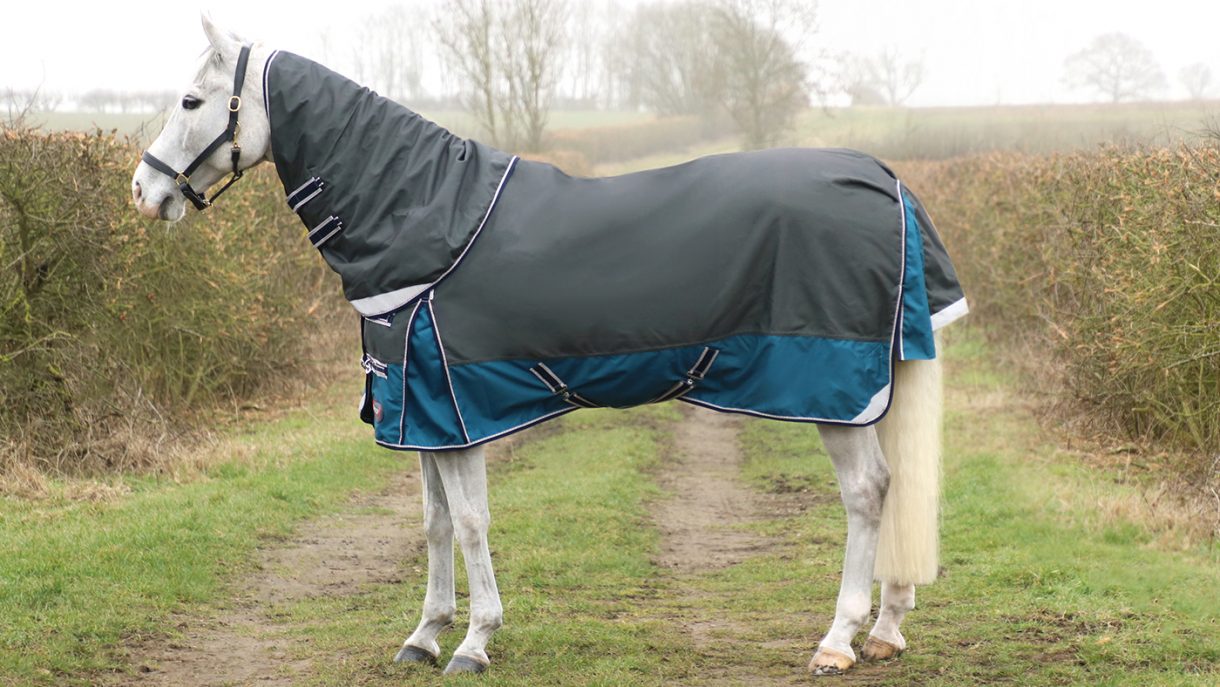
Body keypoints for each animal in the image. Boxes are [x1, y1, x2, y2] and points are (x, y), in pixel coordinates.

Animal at [131, 15, 967, 677]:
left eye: (192, 102)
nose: (144, 191)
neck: (424, 217)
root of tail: (884, 179)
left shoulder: (454, 406)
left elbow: (471, 521)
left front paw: (475, 640)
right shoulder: (420, 410)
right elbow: (433, 522)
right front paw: (424, 634)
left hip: (835, 390)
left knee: (866, 494)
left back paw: (838, 639)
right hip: (879, 381)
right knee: (894, 487)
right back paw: (886, 629)